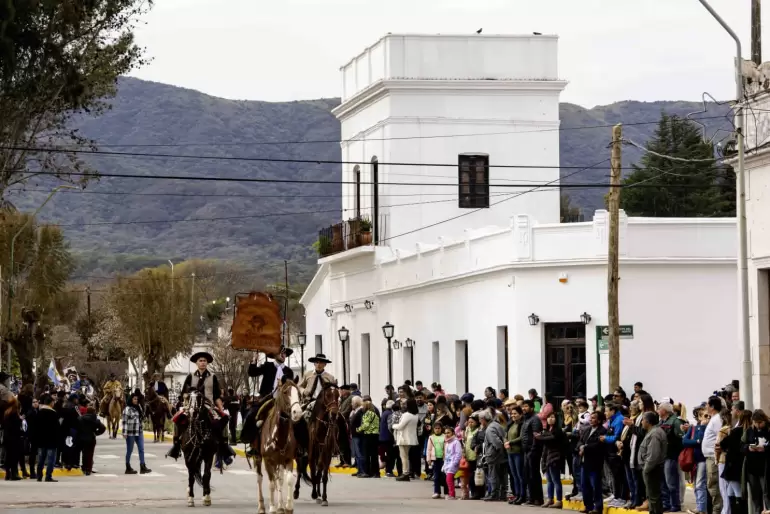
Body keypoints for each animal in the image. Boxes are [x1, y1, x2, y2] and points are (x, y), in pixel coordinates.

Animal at [250, 378, 302, 512]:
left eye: (299, 393)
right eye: (285, 392)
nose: (297, 412)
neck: (279, 436)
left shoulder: (288, 459)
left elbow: (288, 480)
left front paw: (288, 507)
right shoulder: (268, 461)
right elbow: (271, 483)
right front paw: (272, 508)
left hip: (280, 462)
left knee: (280, 480)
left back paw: (280, 506)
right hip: (258, 458)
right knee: (260, 478)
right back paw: (262, 506)